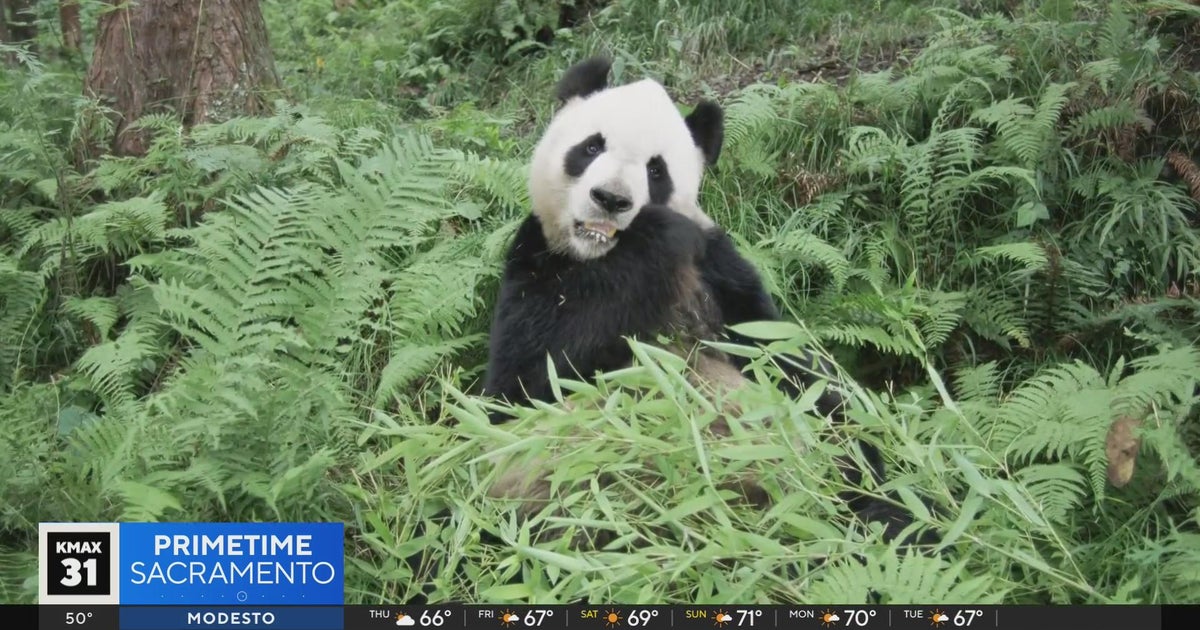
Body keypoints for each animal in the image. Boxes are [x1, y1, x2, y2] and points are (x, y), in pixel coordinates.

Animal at [478, 56, 936, 548]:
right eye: (591, 146)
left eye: (656, 170)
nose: (612, 199)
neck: (599, 257)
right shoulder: (535, 263)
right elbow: (525, 387)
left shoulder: (720, 272)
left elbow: (788, 362)